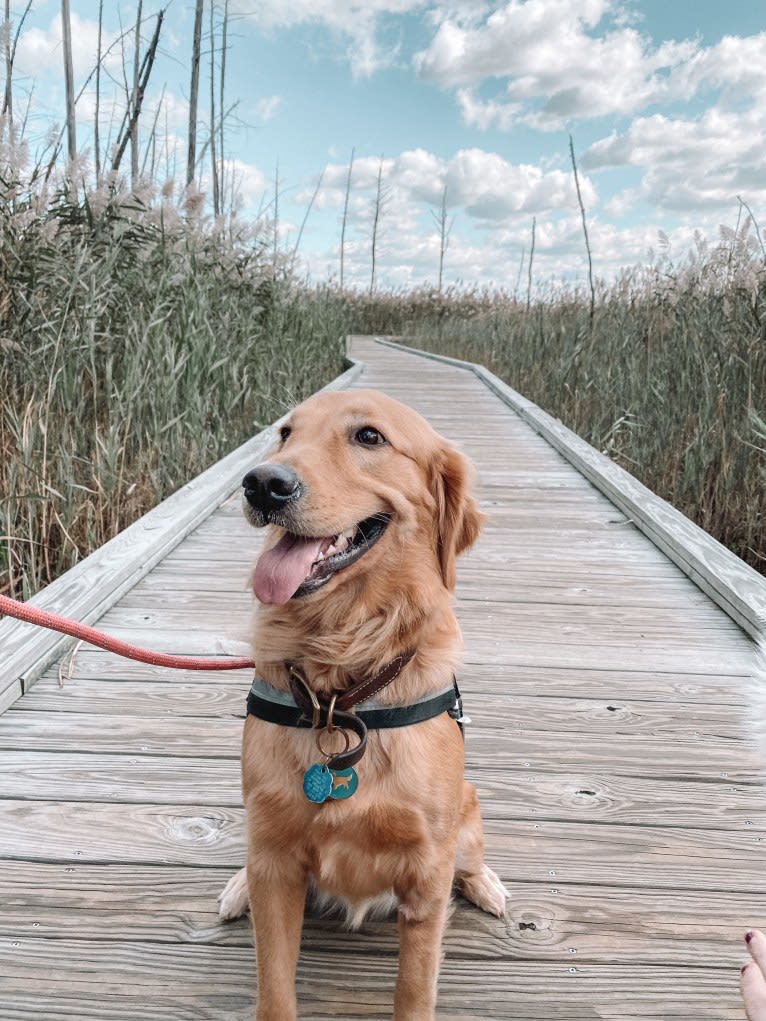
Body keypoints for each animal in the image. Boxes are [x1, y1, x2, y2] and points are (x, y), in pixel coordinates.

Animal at [220, 385, 510, 1016]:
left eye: (369, 436)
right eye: (285, 433)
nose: (263, 484)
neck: (341, 689)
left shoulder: (425, 874)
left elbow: (413, 989)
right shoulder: (276, 862)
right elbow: (274, 988)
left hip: (467, 813)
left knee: (471, 860)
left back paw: (487, 884)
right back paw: (236, 887)